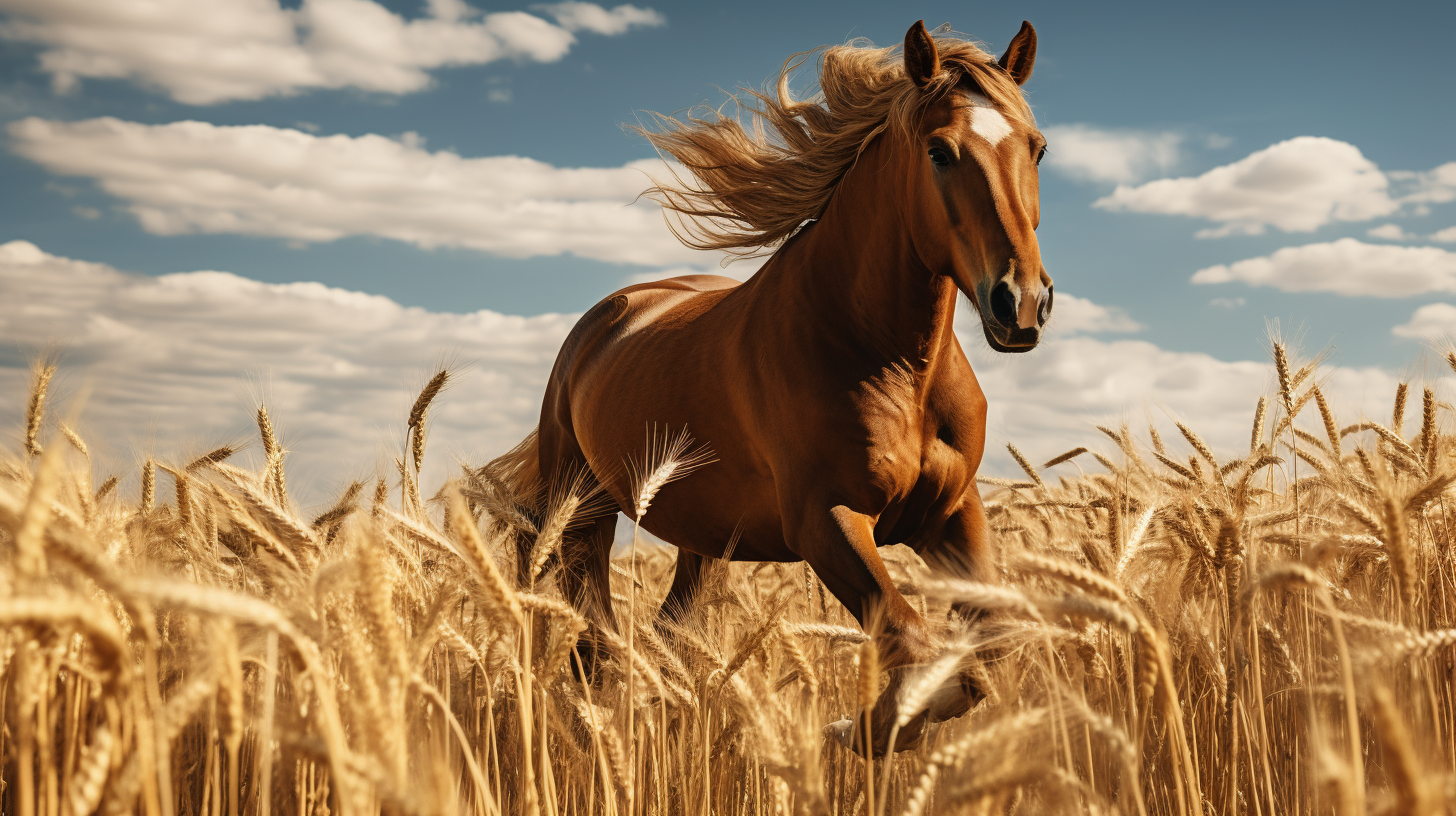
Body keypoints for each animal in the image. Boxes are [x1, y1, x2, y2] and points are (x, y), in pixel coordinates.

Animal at [497, 19, 1048, 757]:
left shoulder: (952, 511)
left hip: (703, 538)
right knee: (596, 645)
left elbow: (990, 640)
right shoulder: (826, 519)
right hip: (583, 510)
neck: (888, 362)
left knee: (667, 636)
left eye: (1036, 148)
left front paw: (871, 726)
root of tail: (609, 316)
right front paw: (856, 727)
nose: (1021, 304)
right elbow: (911, 638)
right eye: (940, 151)